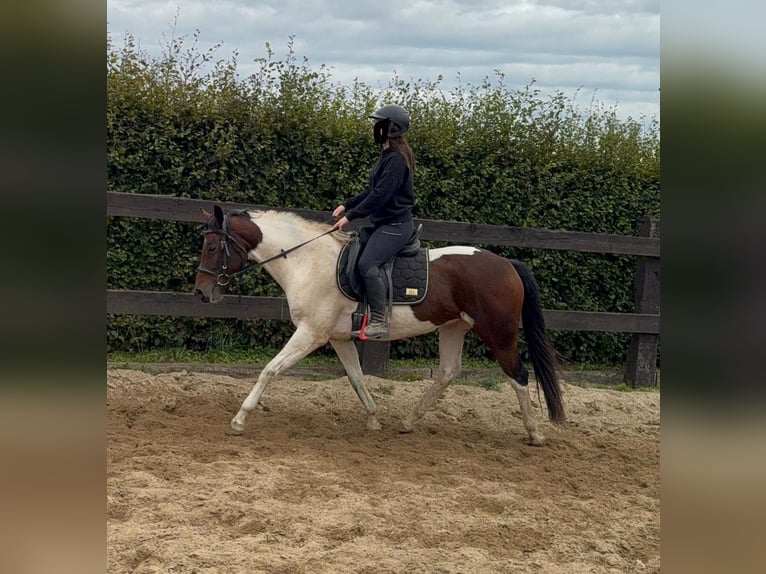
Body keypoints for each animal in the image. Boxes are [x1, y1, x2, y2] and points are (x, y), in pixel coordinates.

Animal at [193, 205, 566, 445]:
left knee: (518, 374)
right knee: (448, 372)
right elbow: (357, 378)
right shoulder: (339, 338)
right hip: (453, 328)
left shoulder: (311, 333)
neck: (308, 261)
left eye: (211, 247)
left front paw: (239, 419)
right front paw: (373, 420)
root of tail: (506, 263)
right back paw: (408, 421)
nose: (201, 293)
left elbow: (269, 370)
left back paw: (534, 433)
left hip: (498, 334)